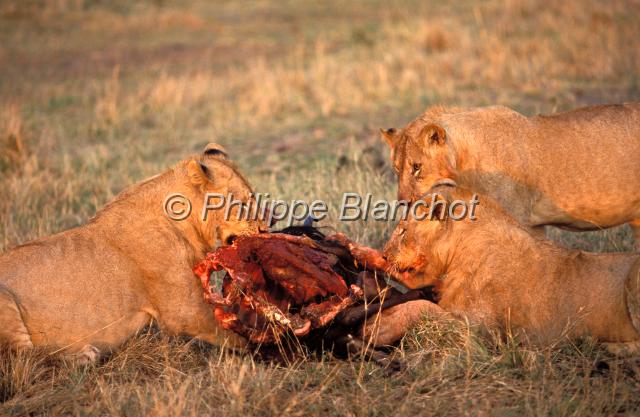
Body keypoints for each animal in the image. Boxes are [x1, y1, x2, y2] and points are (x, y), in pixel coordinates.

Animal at [0, 144, 268, 364]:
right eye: (243, 204)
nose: (267, 227)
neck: (186, 224)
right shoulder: (186, 312)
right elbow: (236, 334)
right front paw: (274, 347)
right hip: (6, 301)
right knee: (24, 359)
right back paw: (83, 357)